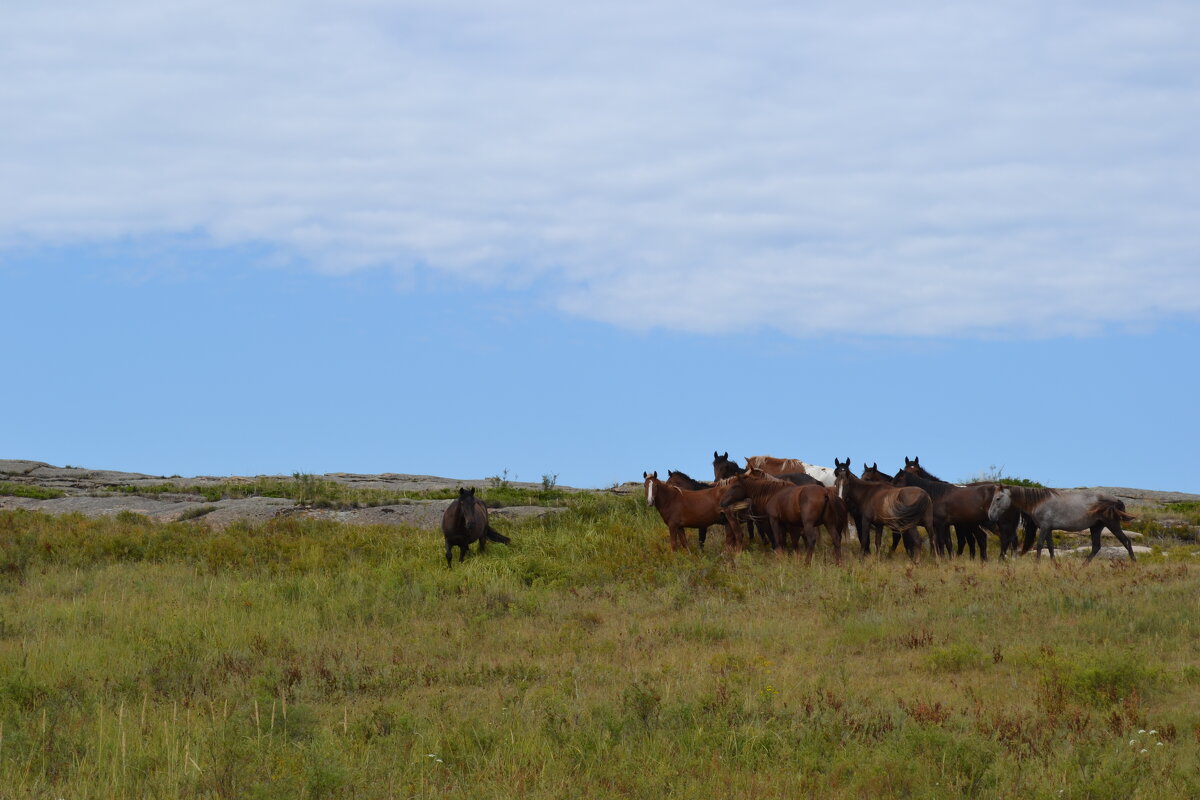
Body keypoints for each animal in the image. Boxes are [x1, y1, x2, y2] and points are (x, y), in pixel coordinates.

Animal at [988, 482, 1137, 563]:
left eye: (998, 498)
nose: (990, 515)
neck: (1039, 502)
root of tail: (1116, 500)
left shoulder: (1044, 527)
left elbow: (1040, 545)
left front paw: (1037, 564)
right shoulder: (1048, 529)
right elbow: (1051, 547)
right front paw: (1054, 565)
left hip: (1112, 524)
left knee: (1126, 541)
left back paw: (1134, 564)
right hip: (1096, 527)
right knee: (1096, 548)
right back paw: (1082, 567)